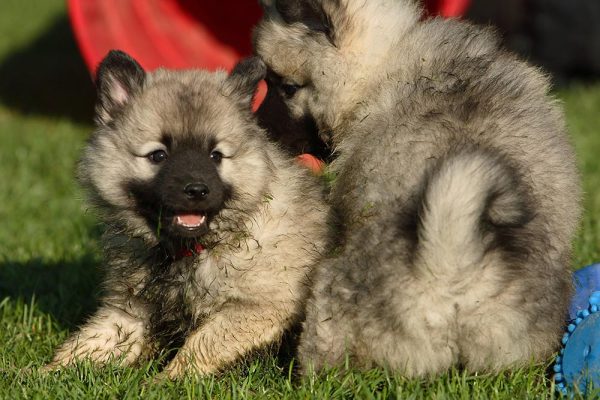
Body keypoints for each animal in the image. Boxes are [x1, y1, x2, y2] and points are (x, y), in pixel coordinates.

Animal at [44, 50, 330, 378]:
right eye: (158, 155)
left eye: (215, 156)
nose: (196, 190)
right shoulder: (130, 310)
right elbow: (90, 341)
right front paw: (39, 373)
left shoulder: (256, 307)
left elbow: (201, 343)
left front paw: (167, 380)